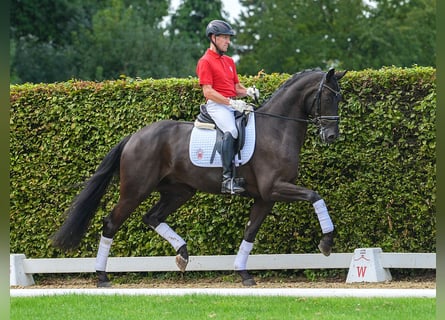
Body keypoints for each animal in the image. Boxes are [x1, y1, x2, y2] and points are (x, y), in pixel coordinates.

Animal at [51, 68, 344, 288]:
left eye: (340, 98)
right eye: (327, 97)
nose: (331, 136)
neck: (277, 128)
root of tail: (135, 136)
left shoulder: (265, 197)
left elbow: (250, 232)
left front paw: (242, 272)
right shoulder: (276, 188)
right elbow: (316, 196)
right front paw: (326, 243)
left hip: (179, 191)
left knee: (152, 217)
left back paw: (182, 254)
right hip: (135, 190)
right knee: (111, 223)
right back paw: (102, 276)